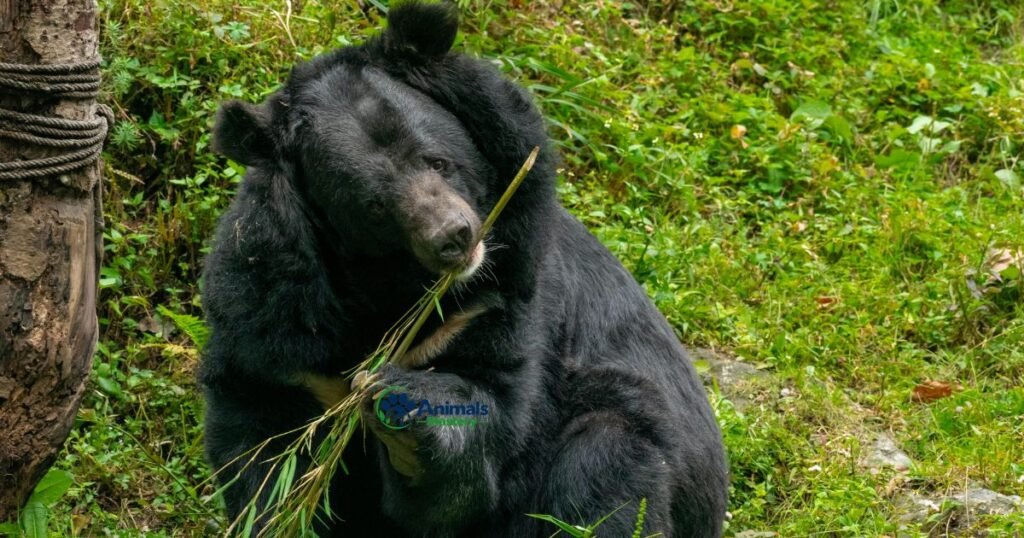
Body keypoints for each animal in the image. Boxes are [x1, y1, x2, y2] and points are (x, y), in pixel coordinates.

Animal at [199, 2, 729, 536]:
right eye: (373, 206)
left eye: (437, 161)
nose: (454, 237)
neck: (393, 290)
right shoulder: (275, 317)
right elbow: (261, 444)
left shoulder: (502, 297)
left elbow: (492, 417)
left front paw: (406, 413)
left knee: (607, 464)